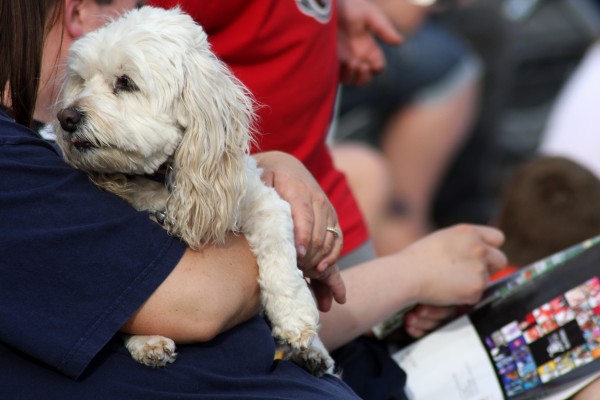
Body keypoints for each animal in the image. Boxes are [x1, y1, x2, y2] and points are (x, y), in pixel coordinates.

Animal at [54, 5, 336, 376]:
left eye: (125, 83)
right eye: (82, 81)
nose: (66, 117)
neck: (163, 178)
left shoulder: (262, 202)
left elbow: (280, 257)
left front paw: (295, 316)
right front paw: (147, 341)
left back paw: (314, 351)